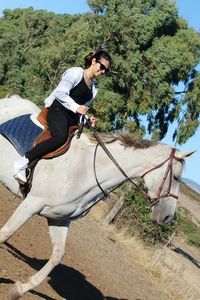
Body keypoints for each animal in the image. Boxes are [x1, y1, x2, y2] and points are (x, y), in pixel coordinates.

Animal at [0, 96, 195, 298]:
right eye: (177, 177)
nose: (168, 217)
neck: (84, 169)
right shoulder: (31, 204)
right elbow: (6, 233)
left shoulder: (59, 219)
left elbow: (57, 255)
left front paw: (18, 290)